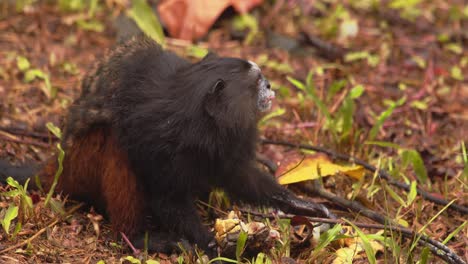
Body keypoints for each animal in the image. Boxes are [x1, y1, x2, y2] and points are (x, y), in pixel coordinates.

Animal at [0, 35, 330, 256]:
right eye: (259, 81)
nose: (271, 85)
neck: (201, 122)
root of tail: (60, 162)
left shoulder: (233, 136)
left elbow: (239, 176)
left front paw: (297, 203)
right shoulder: (160, 140)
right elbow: (166, 197)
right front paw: (210, 242)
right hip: (82, 163)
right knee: (113, 140)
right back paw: (135, 238)